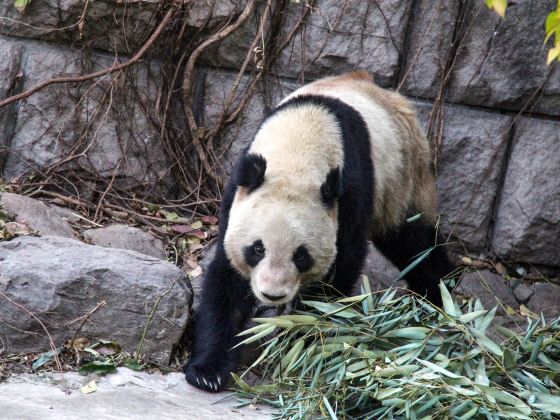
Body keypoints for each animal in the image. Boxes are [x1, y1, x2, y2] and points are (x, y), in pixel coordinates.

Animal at [186, 71, 452, 390]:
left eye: (300, 255)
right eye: (257, 248)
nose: (272, 295)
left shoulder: (349, 192)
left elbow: (339, 269)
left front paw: (304, 339)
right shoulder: (239, 193)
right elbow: (227, 278)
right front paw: (208, 371)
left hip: (404, 176)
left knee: (413, 242)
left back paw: (440, 295)